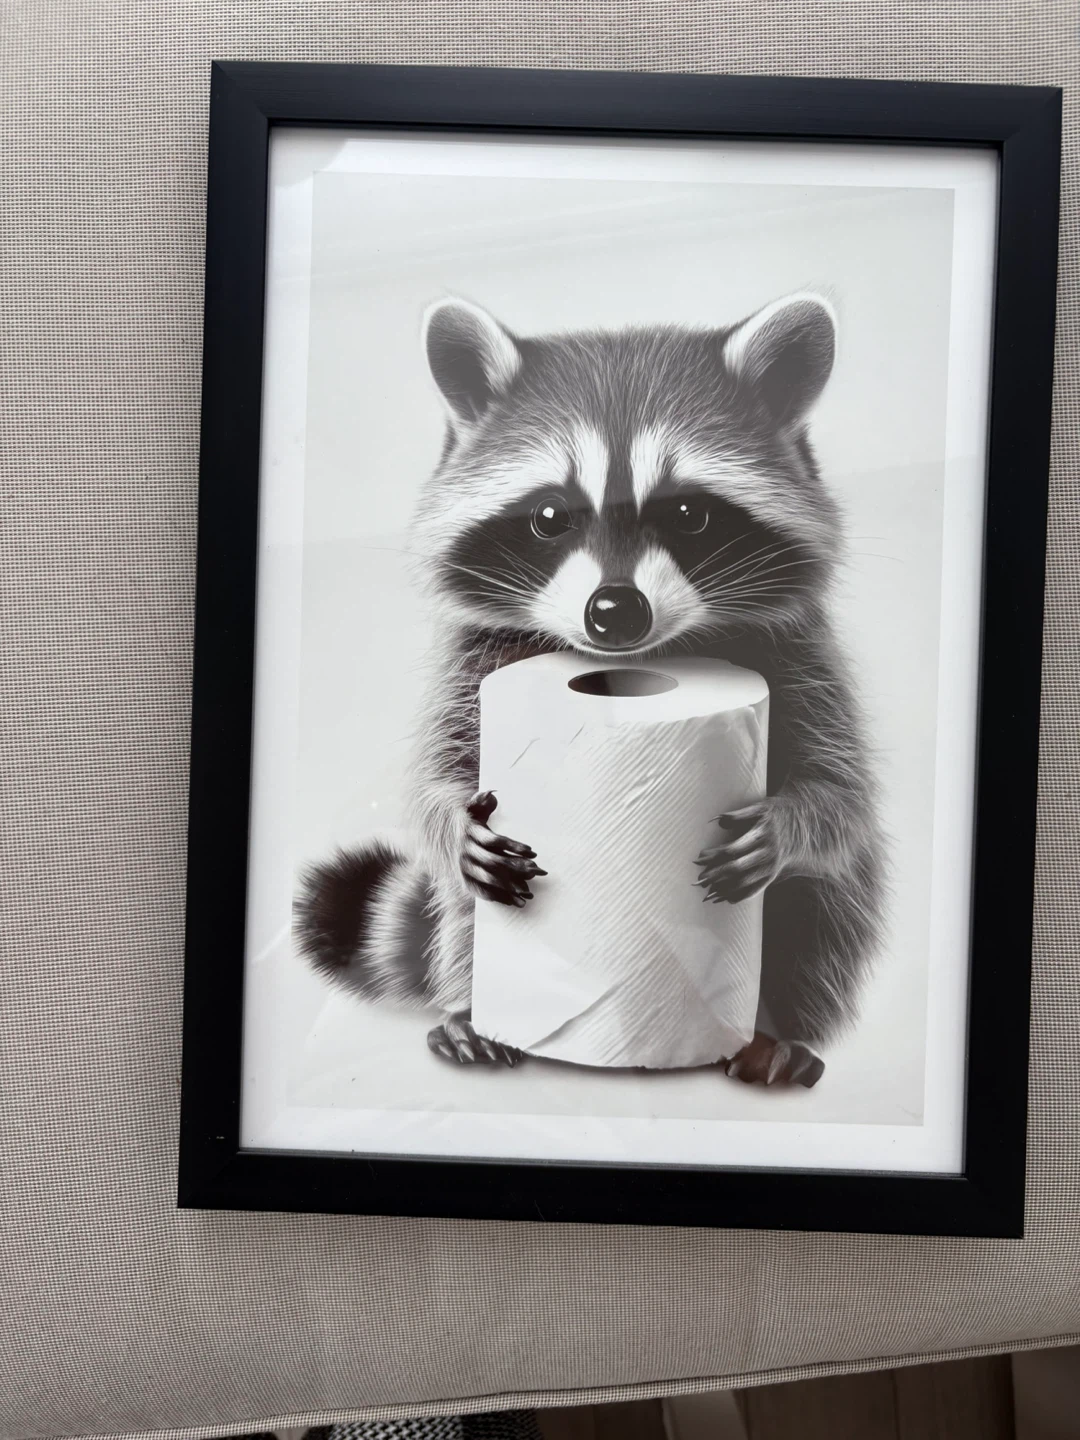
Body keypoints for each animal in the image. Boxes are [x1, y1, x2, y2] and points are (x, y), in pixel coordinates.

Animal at [295, 292, 886, 1087]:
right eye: (549, 515)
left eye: (688, 514)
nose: (614, 612)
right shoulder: (473, 663)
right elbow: (434, 780)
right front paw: (451, 820)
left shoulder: (800, 656)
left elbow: (841, 792)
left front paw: (792, 820)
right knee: (462, 914)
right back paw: (470, 1011)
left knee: (829, 913)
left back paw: (779, 1030)